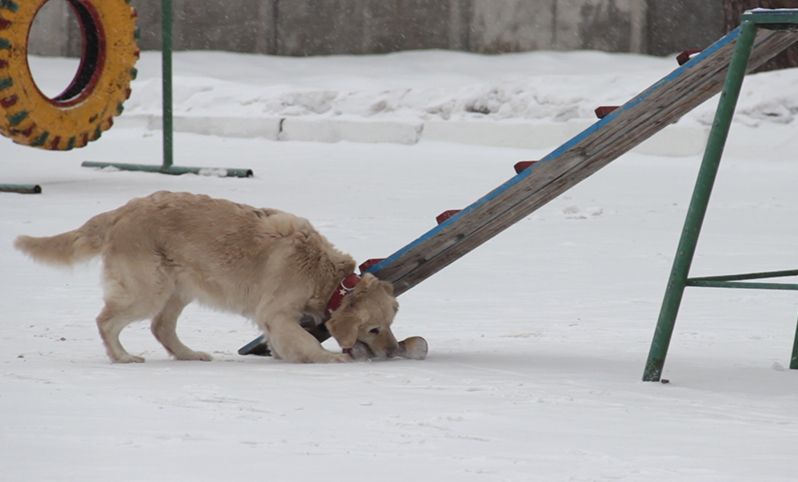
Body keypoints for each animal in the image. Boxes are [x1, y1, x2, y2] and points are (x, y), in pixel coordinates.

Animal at [17, 190, 406, 364]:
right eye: (374, 329)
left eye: (390, 325)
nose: (394, 352)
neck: (324, 276)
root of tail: (121, 211)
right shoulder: (275, 313)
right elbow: (306, 341)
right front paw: (330, 358)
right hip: (149, 289)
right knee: (106, 320)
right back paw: (122, 357)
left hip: (179, 289)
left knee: (161, 327)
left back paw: (188, 354)